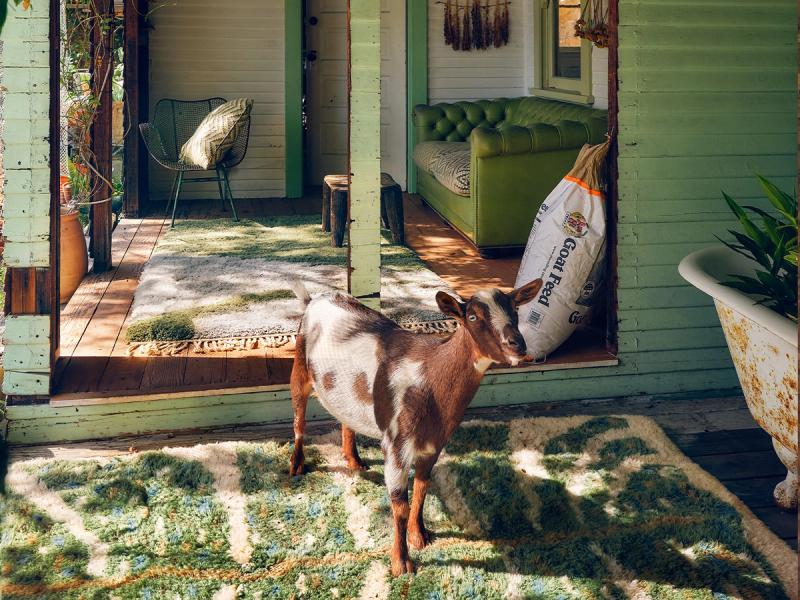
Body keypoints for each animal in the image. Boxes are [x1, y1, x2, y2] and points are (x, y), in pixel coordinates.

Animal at [288, 280, 544, 576]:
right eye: (472, 317)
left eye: (515, 309)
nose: (517, 345)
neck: (429, 375)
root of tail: (313, 299)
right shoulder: (396, 446)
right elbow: (400, 505)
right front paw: (401, 563)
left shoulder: (435, 443)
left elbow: (422, 488)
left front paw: (419, 535)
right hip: (300, 364)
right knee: (298, 417)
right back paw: (296, 465)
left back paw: (354, 460)